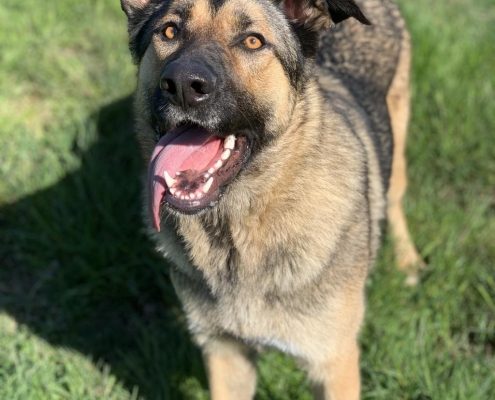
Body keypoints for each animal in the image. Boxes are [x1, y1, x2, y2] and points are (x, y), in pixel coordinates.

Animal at [119, 0, 422, 396]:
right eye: (169, 32)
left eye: (253, 41)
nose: (182, 85)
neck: (239, 228)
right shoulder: (226, 354)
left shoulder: (333, 364)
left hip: (398, 147)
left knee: (395, 201)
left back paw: (407, 261)